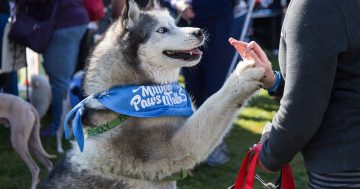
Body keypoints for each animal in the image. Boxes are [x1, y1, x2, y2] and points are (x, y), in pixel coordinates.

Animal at [41, 0, 264, 189]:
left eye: (174, 24)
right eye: (162, 30)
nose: (199, 31)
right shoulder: (180, 146)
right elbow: (214, 102)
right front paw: (244, 73)